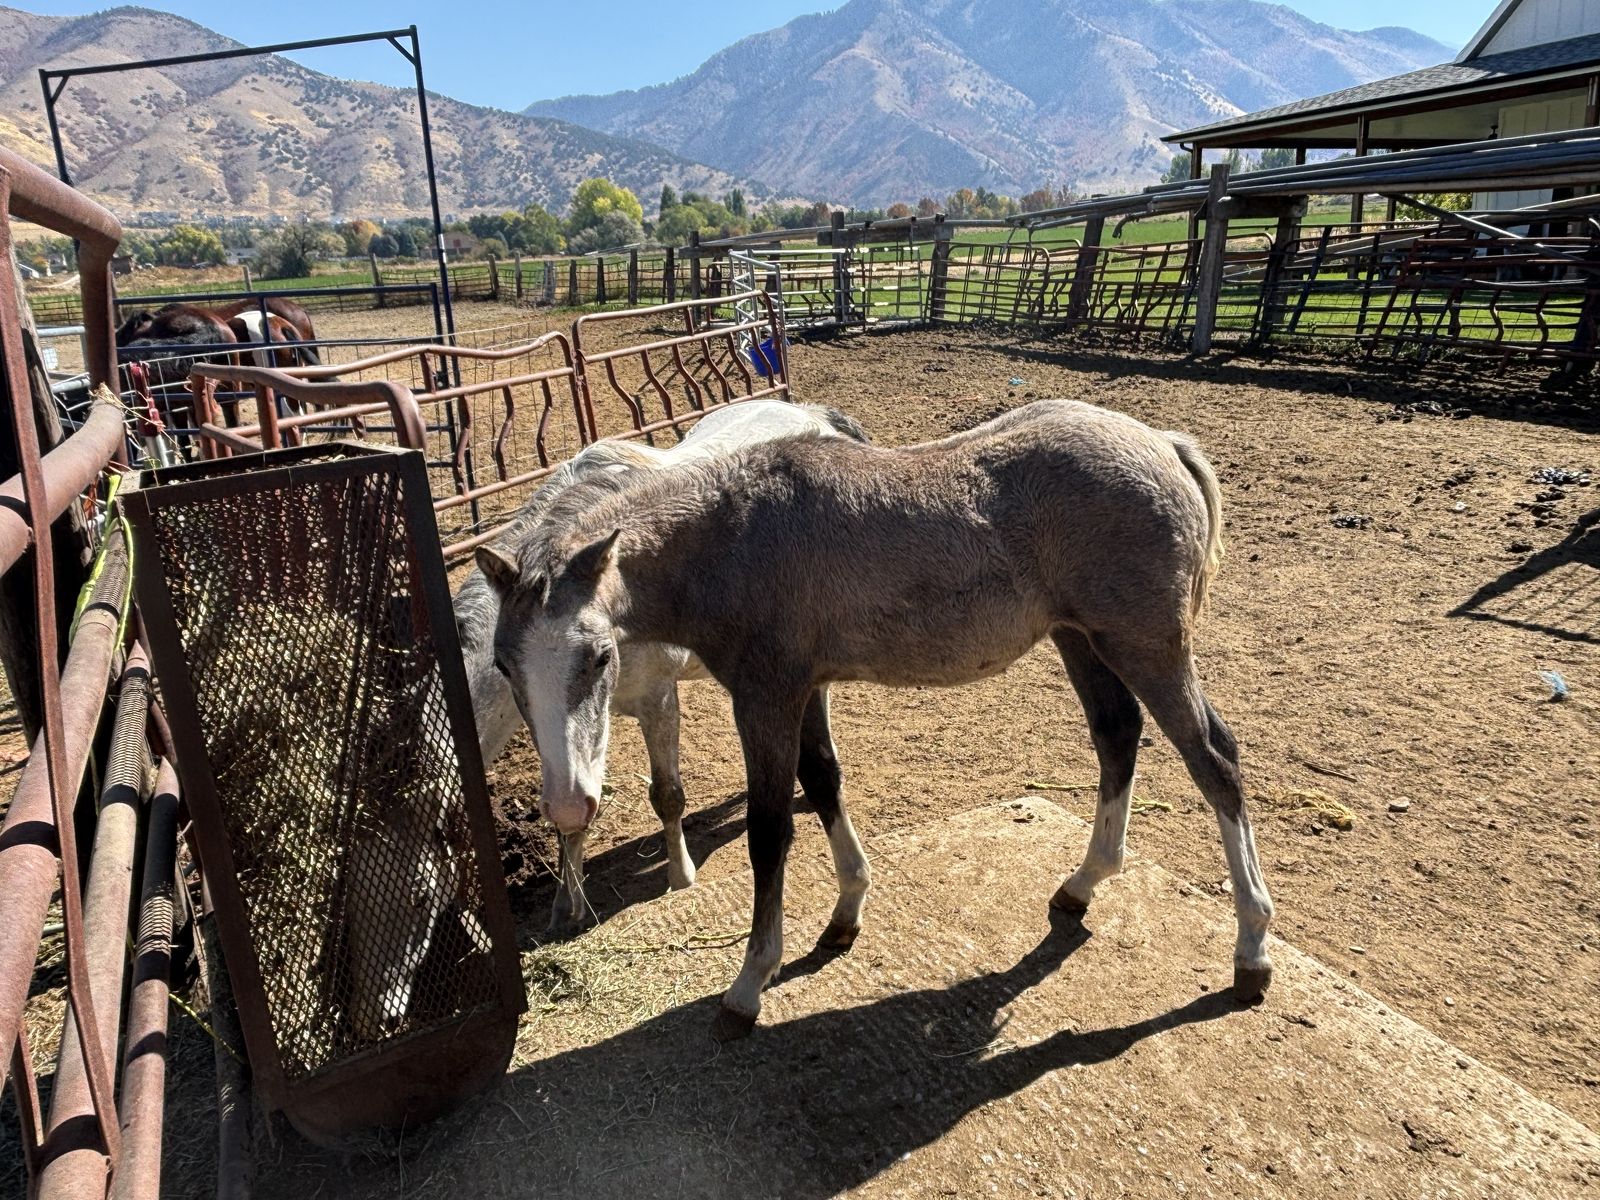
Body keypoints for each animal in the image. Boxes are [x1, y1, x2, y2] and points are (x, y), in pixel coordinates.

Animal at [454, 399, 869, 932]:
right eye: (504, 668)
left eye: (601, 655)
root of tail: (812, 414)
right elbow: (575, 810)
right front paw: (567, 907)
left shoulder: (658, 699)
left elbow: (667, 794)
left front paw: (680, 877)